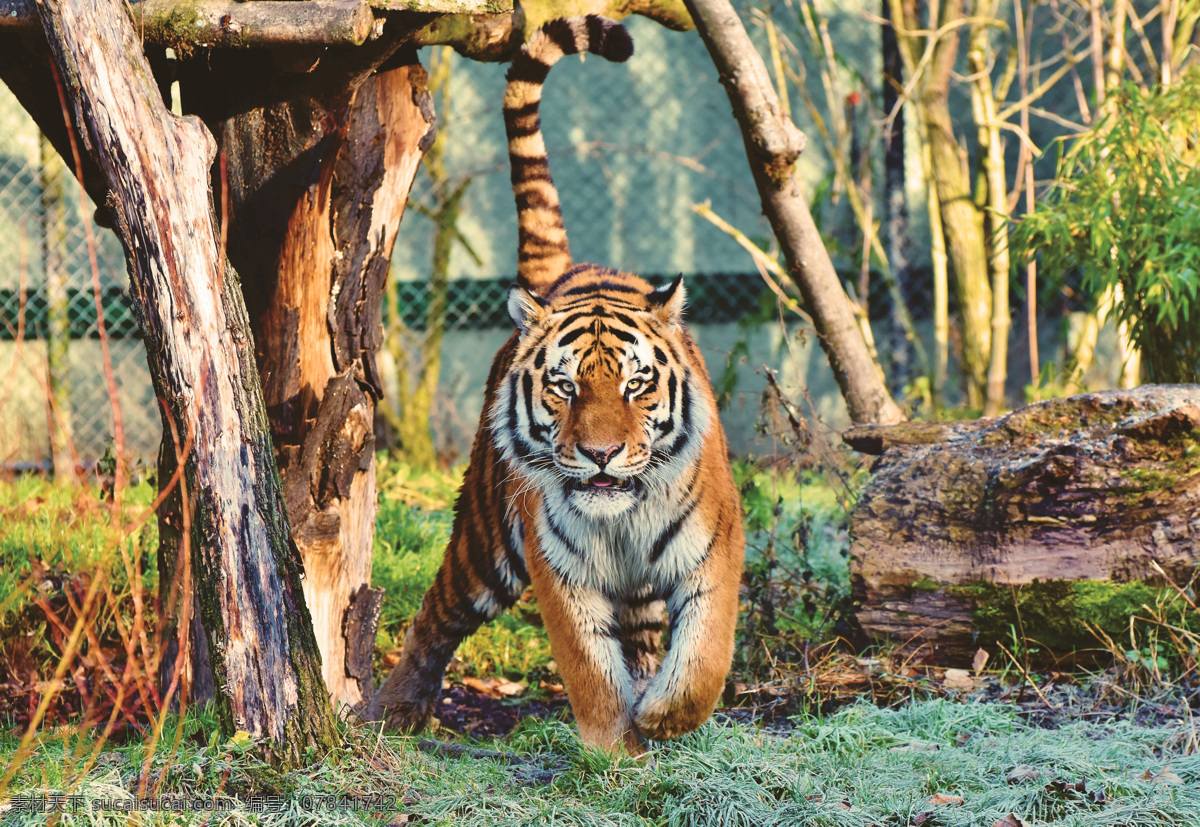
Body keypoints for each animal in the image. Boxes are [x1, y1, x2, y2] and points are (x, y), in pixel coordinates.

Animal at [372, 15, 745, 754]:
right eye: (565, 388)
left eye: (636, 385)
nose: (601, 454)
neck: (622, 519)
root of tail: (566, 271)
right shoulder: (559, 569)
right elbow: (589, 668)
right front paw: (612, 745)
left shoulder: (715, 548)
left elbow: (705, 657)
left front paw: (663, 716)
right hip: (485, 541)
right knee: (435, 613)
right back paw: (395, 709)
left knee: (646, 637)